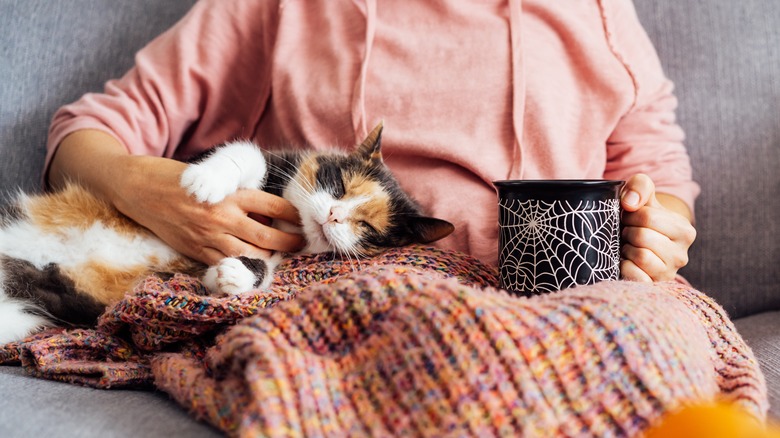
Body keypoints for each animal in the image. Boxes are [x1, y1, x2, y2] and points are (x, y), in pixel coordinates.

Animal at [0, 123, 454, 342]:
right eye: (339, 184)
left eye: (369, 226)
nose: (333, 215)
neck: (289, 223)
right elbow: (248, 154)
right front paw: (205, 182)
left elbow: (261, 268)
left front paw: (234, 274)